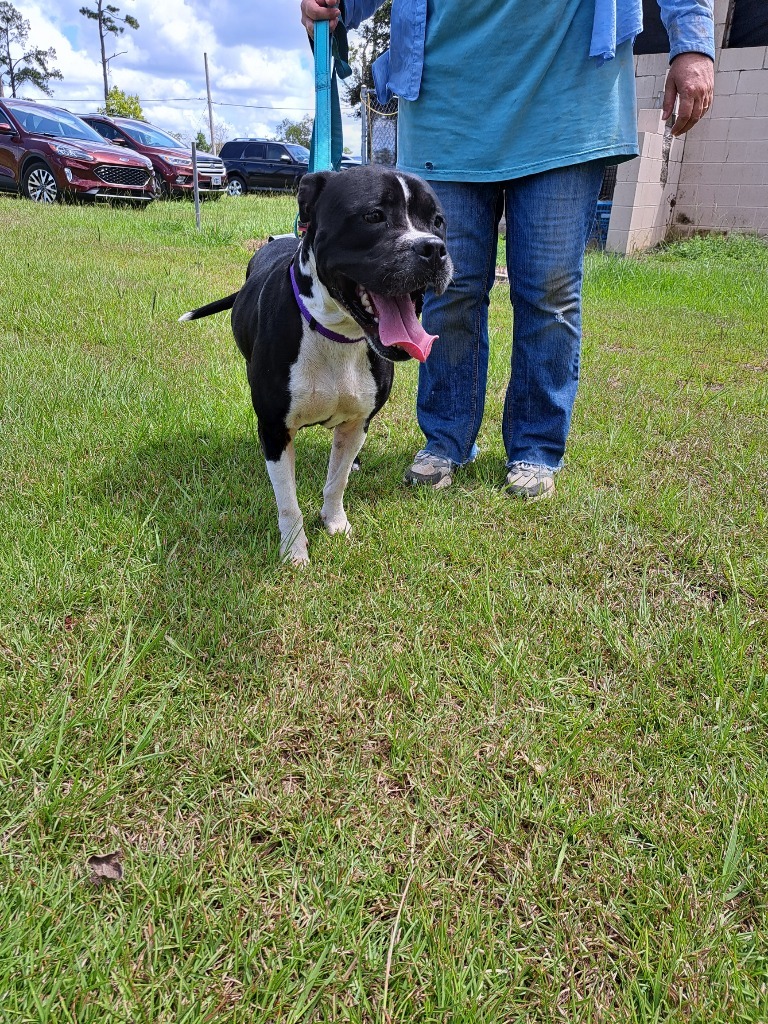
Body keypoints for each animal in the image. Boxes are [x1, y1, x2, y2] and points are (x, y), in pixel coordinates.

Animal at [179, 168, 456, 569]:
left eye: (438, 222)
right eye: (373, 216)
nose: (434, 248)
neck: (336, 333)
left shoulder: (357, 424)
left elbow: (336, 480)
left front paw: (334, 522)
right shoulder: (276, 429)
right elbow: (287, 501)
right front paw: (294, 550)